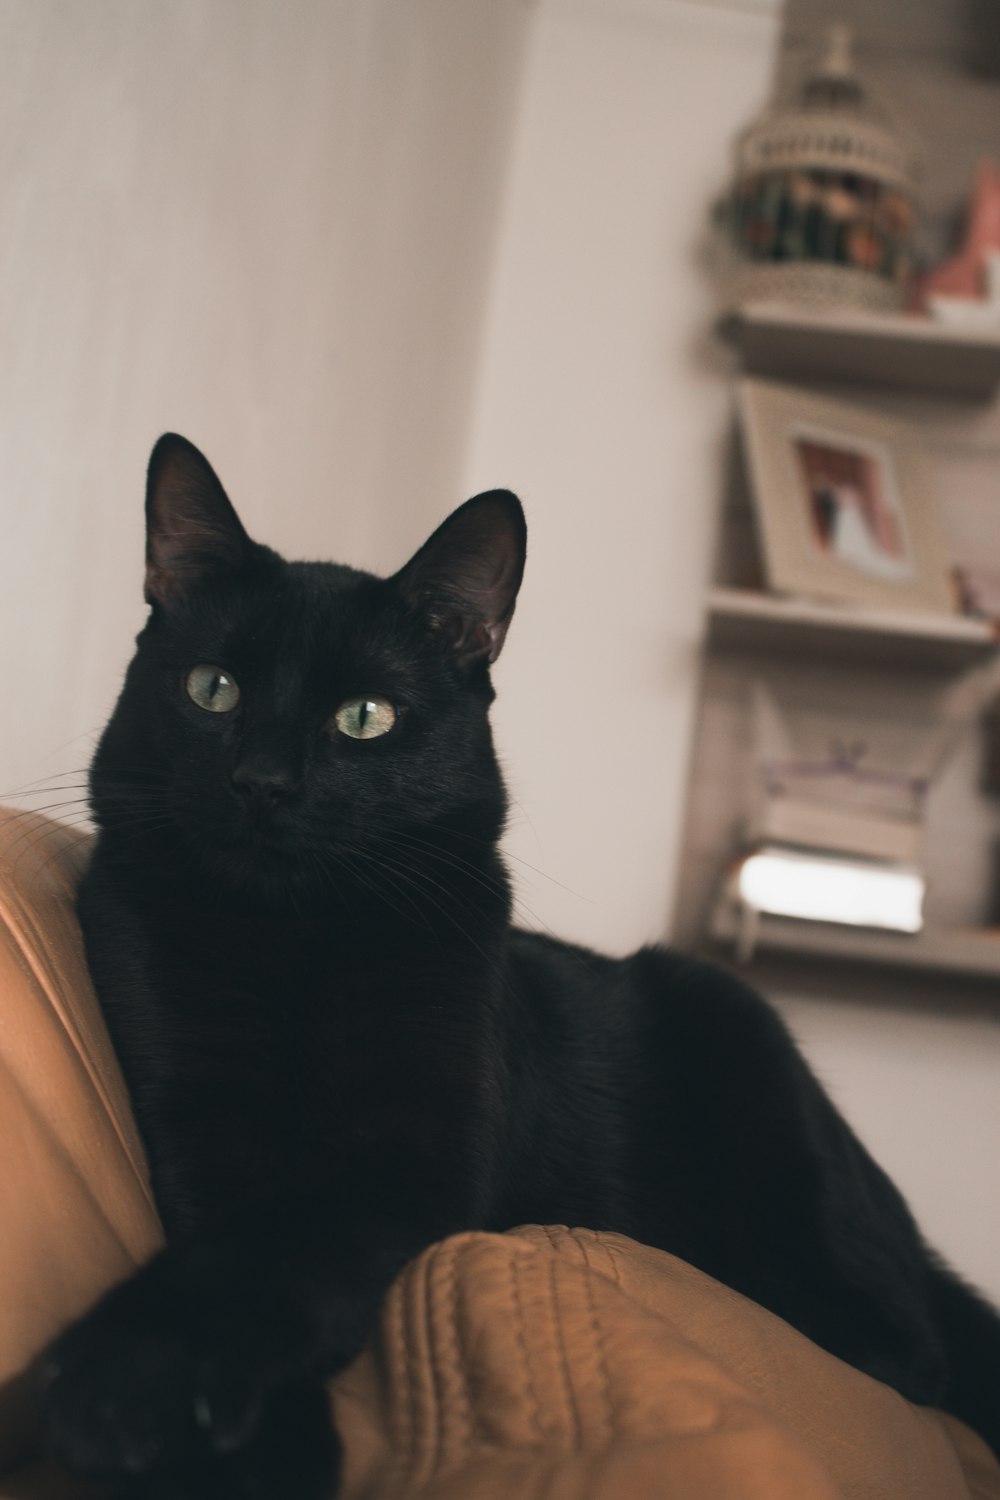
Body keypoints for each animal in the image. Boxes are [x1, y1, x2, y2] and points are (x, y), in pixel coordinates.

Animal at [43, 432, 1000, 1488]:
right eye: (212, 689)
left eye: (365, 716)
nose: (262, 782)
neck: (300, 944)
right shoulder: (197, 1120)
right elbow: (232, 1248)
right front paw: (247, 1451)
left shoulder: (420, 1162)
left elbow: (281, 1253)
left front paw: (116, 1384)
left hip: (744, 1044)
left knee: (906, 1347)